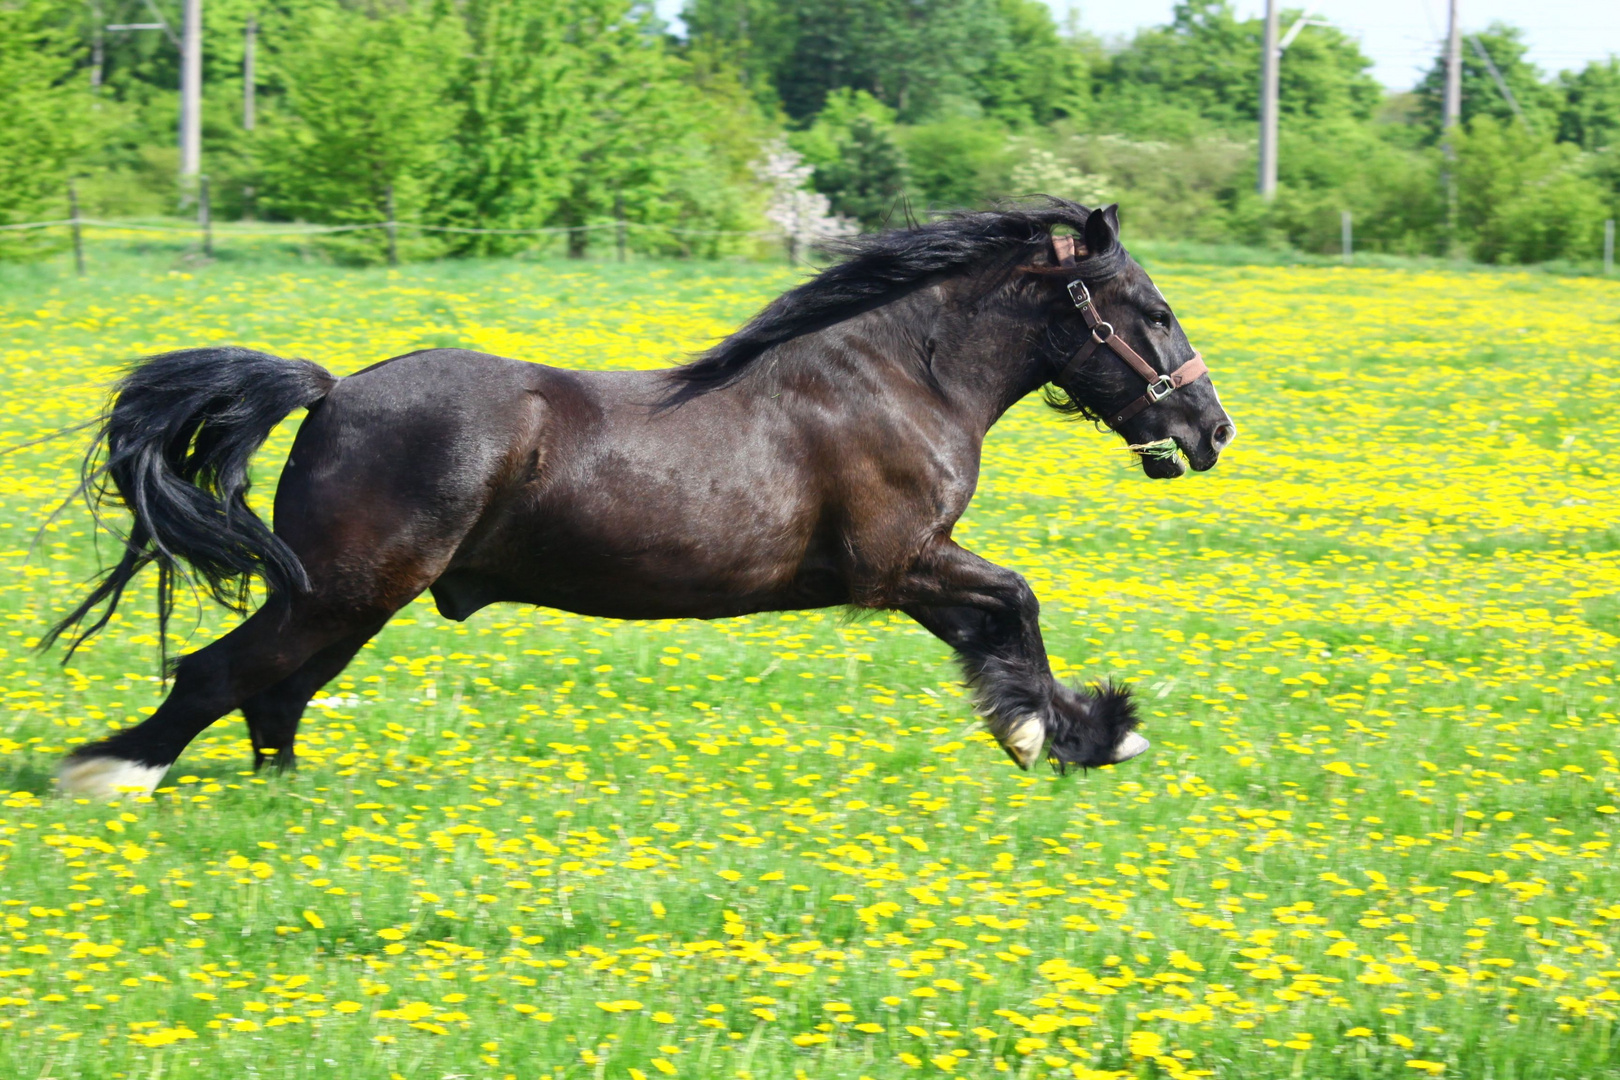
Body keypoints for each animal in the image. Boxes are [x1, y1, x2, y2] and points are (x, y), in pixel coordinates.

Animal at [57, 200, 1231, 803]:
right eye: (1152, 309)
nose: (1210, 431)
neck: (898, 377)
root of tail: (334, 387)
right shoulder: (898, 563)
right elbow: (1019, 601)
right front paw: (1077, 732)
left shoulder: (918, 573)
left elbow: (1000, 632)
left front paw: (1066, 732)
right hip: (342, 589)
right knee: (219, 674)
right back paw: (110, 773)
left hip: (352, 598)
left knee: (276, 694)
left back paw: (280, 794)